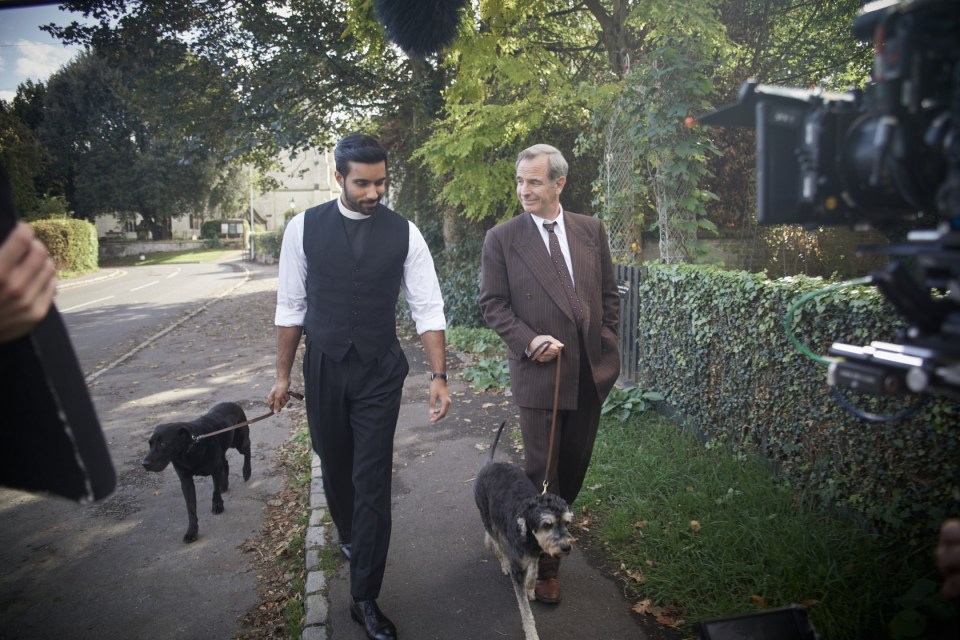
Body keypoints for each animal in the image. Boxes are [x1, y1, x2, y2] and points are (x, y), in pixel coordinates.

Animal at [141, 402, 251, 544]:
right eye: (150, 444)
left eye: (163, 444)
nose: (144, 464)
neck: (189, 450)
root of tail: (233, 403)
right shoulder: (186, 481)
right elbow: (191, 509)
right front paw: (192, 531)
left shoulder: (215, 470)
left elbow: (215, 492)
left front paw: (217, 506)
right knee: (226, 463)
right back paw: (224, 485)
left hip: (239, 442)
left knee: (247, 450)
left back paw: (247, 472)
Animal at [472, 422, 568, 636]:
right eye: (547, 524)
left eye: (566, 522)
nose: (566, 547)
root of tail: (489, 464)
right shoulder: (518, 571)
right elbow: (525, 609)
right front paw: (531, 633)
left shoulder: (535, 555)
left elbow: (533, 572)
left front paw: (531, 589)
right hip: (487, 518)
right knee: (497, 544)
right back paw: (503, 561)